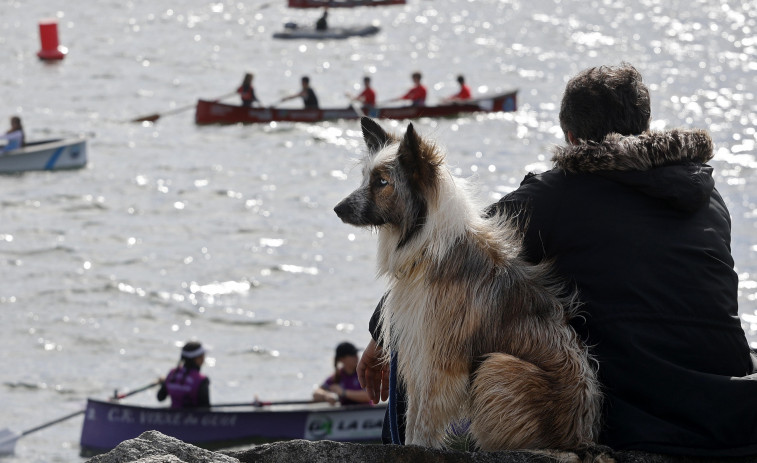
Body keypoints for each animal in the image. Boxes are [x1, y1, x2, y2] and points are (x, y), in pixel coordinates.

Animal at [334, 118, 600, 454]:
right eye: (366, 177)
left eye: (382, 182)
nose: (338, 208)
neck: (426, 246)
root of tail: (580, 439)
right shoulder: (419, 350)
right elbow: (413, 417)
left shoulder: (438, 359)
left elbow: (422, 421)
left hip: (498, 366)